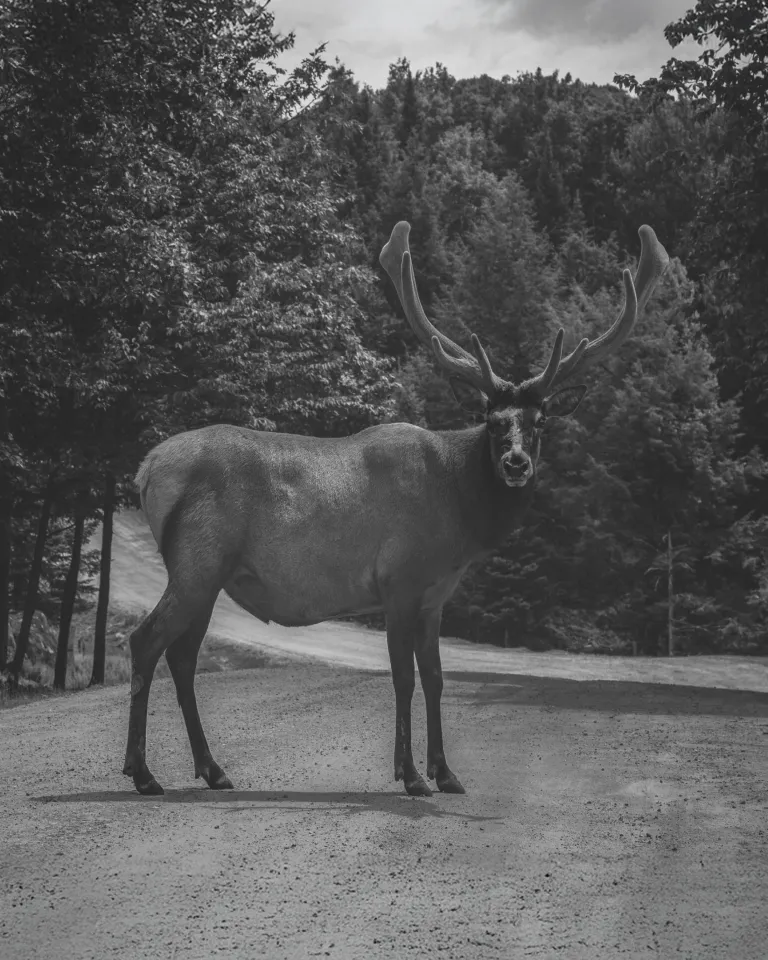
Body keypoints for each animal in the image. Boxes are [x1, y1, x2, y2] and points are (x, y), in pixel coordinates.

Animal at [122, 220, 669, 797]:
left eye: (540, 421)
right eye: (493, 420)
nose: (516, 462)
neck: (460, 515)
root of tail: (147, 470)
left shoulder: (435, 597)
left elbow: (436, 678)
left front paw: (446, 772)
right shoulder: (398, 580)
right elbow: (403, 678)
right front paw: (410, 776)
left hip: (209, 574)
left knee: (182, 656)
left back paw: (212, 769)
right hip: (197, 561)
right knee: (146, 642)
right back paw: (143, 772)